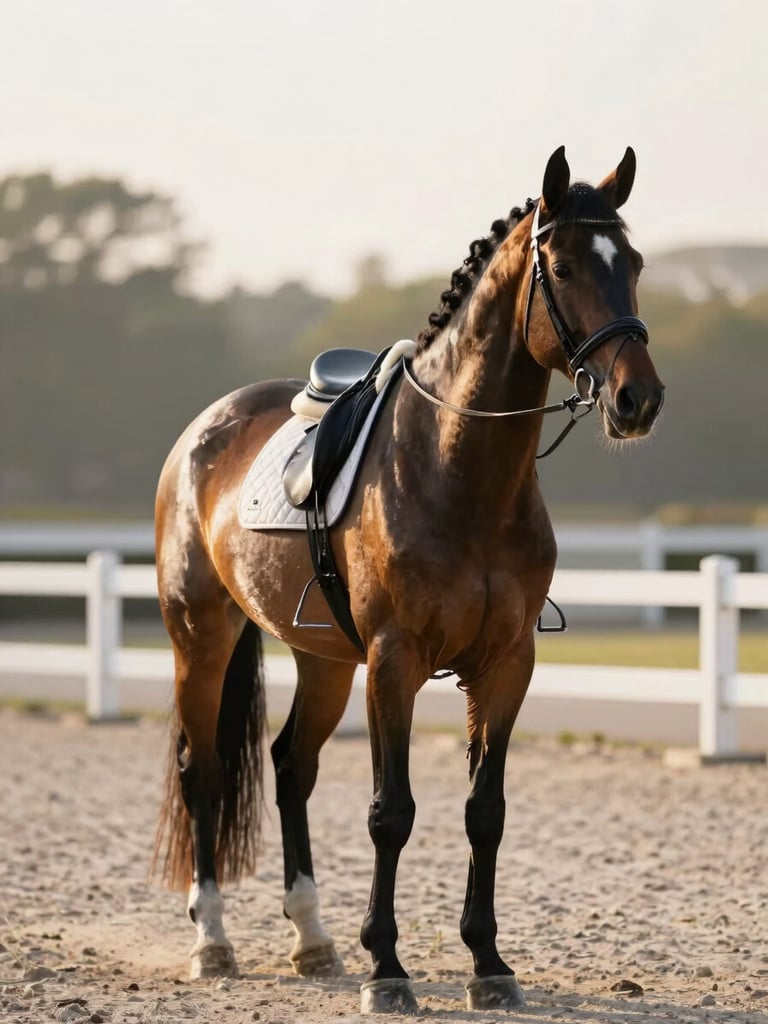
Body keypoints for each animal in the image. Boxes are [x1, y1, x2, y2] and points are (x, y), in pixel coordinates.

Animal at [153, 146, 664, 1014]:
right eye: (562, 266)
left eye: (630, 265)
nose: (639, 399)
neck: (459, 469)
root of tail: (203, 430)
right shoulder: (394, 663)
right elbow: (391, 813)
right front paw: (387, 968)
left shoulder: (506, 664)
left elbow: (484, 811)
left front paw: (489, 963)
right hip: (203, 636)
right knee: (206, 772)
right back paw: (213, 941)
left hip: (322, 658)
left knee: (290, 766)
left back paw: (313, 939)